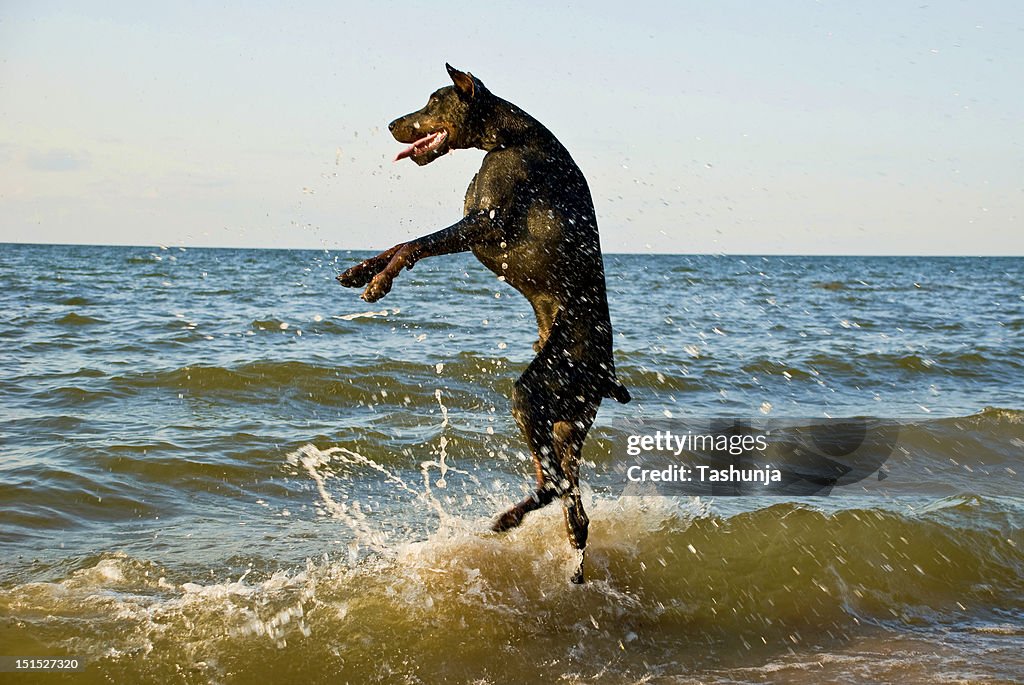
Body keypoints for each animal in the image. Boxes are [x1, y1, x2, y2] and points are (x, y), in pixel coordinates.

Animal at [335, 63, 626, 581]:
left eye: (434, 101)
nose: (390, 125)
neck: (509, 137)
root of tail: (607, 373)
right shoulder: (472, 226)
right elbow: (400, 245)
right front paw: (361, 271)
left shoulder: (485, 223)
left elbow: (412, 245)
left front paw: (380, 282)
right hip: (567, 424)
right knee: (572, 505)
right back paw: (562, 557)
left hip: (535, 395)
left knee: (554, 486)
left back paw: (512, 521)